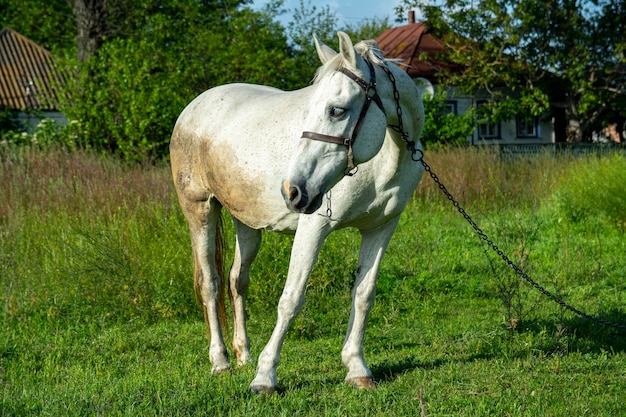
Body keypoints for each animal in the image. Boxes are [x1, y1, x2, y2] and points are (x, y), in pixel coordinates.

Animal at [171, 32, 424, 394]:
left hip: (245, 222)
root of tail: (194, 107)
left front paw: (357, 368)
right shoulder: (313, 227)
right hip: (199, 209)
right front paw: (265, 377)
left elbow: (363, 295)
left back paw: (243, 355)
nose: (293, 191)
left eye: (336, 110)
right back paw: (220, 361)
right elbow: (291, 299)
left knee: (236, 281)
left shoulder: (381, 228)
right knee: (211, 283)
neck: (384, 161)